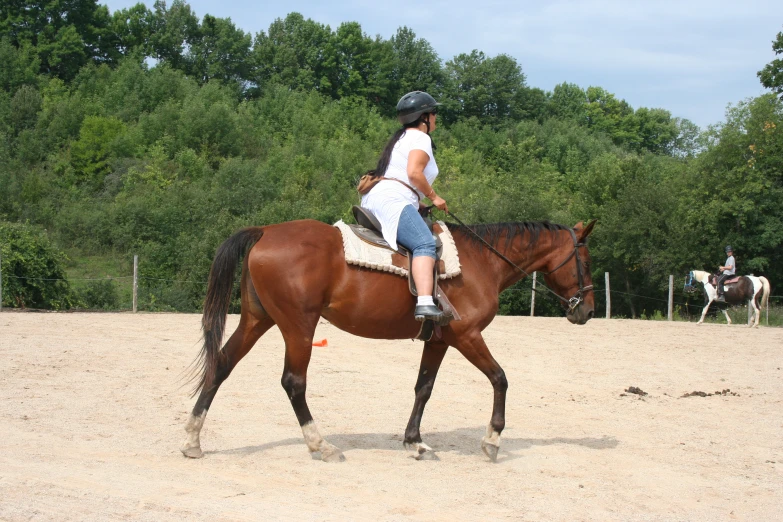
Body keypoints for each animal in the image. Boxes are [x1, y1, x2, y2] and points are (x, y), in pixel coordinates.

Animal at [181, 217, 596, 462]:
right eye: (587, 261)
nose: (588, 310)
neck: (480, 261)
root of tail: (267, 230)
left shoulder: (439, 340)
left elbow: (423, 388)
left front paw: (414, 441)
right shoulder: (467, 336)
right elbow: (500, 378)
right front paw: (492, 440)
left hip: (258, 320)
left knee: (220, 365)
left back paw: (192, 440)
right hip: (299, 326)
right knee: (293, 382)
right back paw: (320, 444)